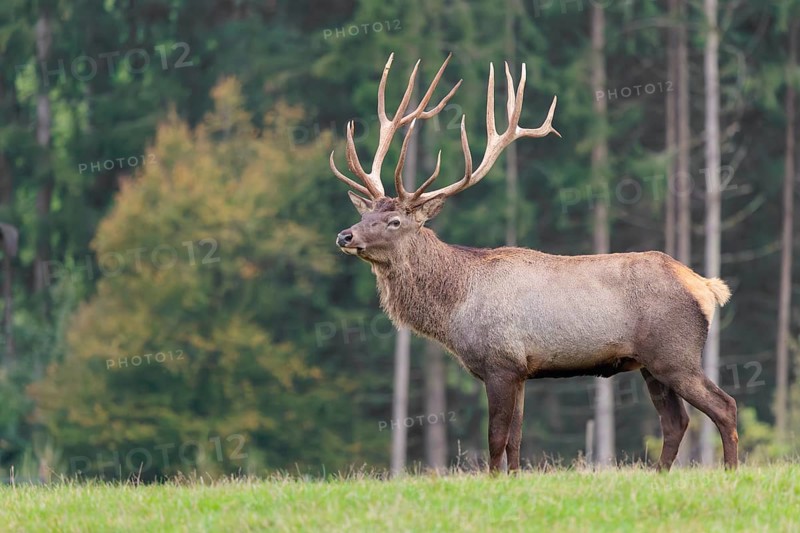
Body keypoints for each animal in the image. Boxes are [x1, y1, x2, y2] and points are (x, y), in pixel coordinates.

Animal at [330, 53, 737, 472]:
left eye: (394, 221)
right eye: (365, 214)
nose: (345, 236)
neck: (454, 308)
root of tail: (707, 287)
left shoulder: (501, 363)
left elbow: (495, 439)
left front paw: (493, 480)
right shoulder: (523, 371)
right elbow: (516, 441)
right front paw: (512, 477)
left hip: (675, 352)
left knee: (724, 406)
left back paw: (731, 469)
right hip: (650, 364)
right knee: (676, 421)